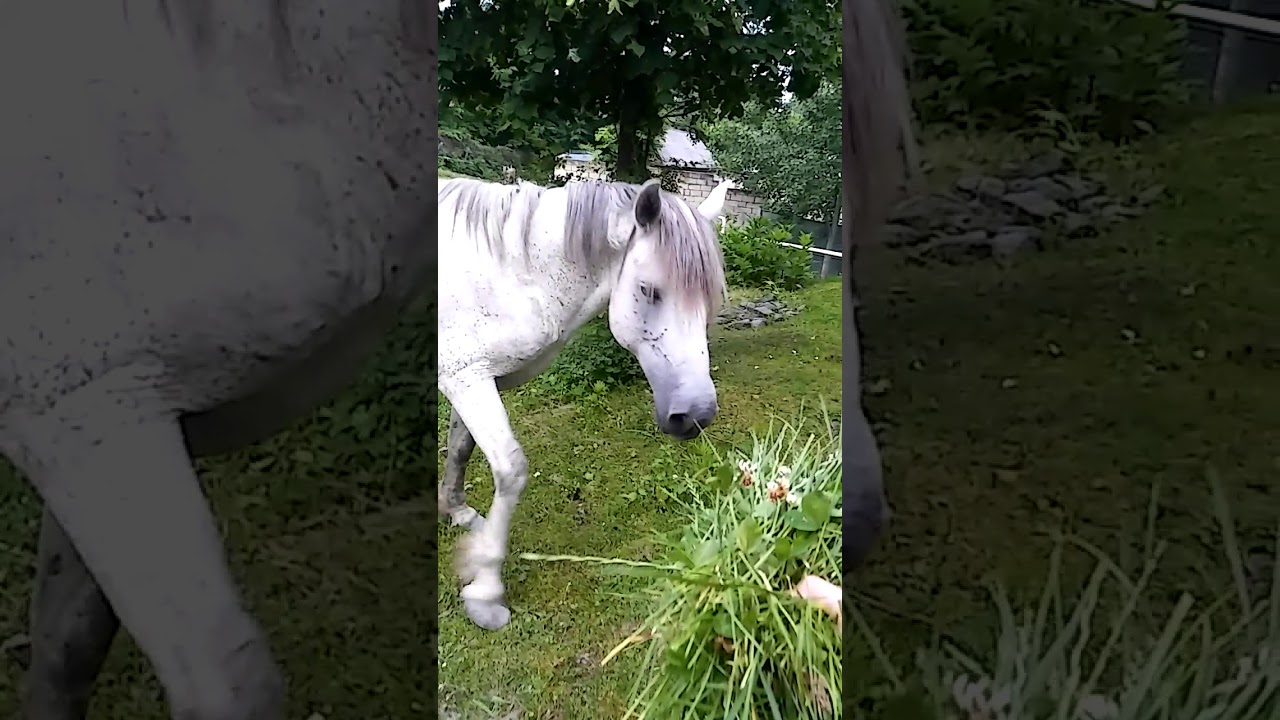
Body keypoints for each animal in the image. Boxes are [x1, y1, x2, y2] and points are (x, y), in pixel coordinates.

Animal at [437, 176, 731, 630]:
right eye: (649, 290)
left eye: (709, 299)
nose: (696, 415)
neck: (509, 272)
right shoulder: (466, 377)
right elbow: (510, 469)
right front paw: (485, 592)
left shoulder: (475, 378)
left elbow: (460, 447)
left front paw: (458, 512)